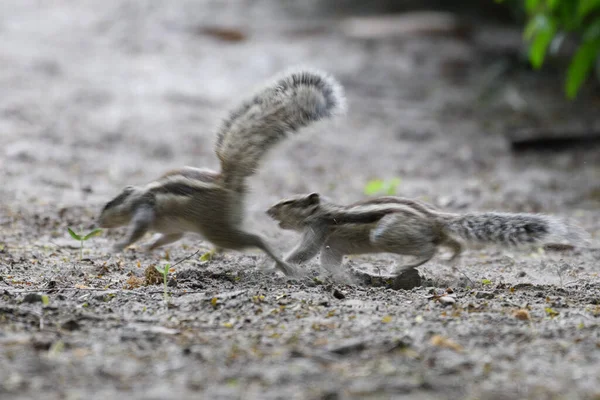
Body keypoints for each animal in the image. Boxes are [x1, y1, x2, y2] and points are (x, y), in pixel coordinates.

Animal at [95, 69, 344, 276]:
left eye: (107, 205)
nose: (97, 223)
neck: (137, 195)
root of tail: (227, 182)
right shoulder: (174, 230)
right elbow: (169, 237)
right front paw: (149, 246)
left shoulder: (144, 209)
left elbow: (138, 230)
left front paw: (119, 245)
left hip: (217, 229)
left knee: (257, 239)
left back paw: (282, 265)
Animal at [264, 193, 584, 276]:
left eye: (287, 202)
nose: (267, 211)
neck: (322, 209)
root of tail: (437, 218)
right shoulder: (332, 246)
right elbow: (329, 260)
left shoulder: (318, 229)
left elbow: (304, 252)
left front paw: (277, 265)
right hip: (435, 235)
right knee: (451, 243)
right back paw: (453, 257)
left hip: (385, 234)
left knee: (428, 250)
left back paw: (401, 267)